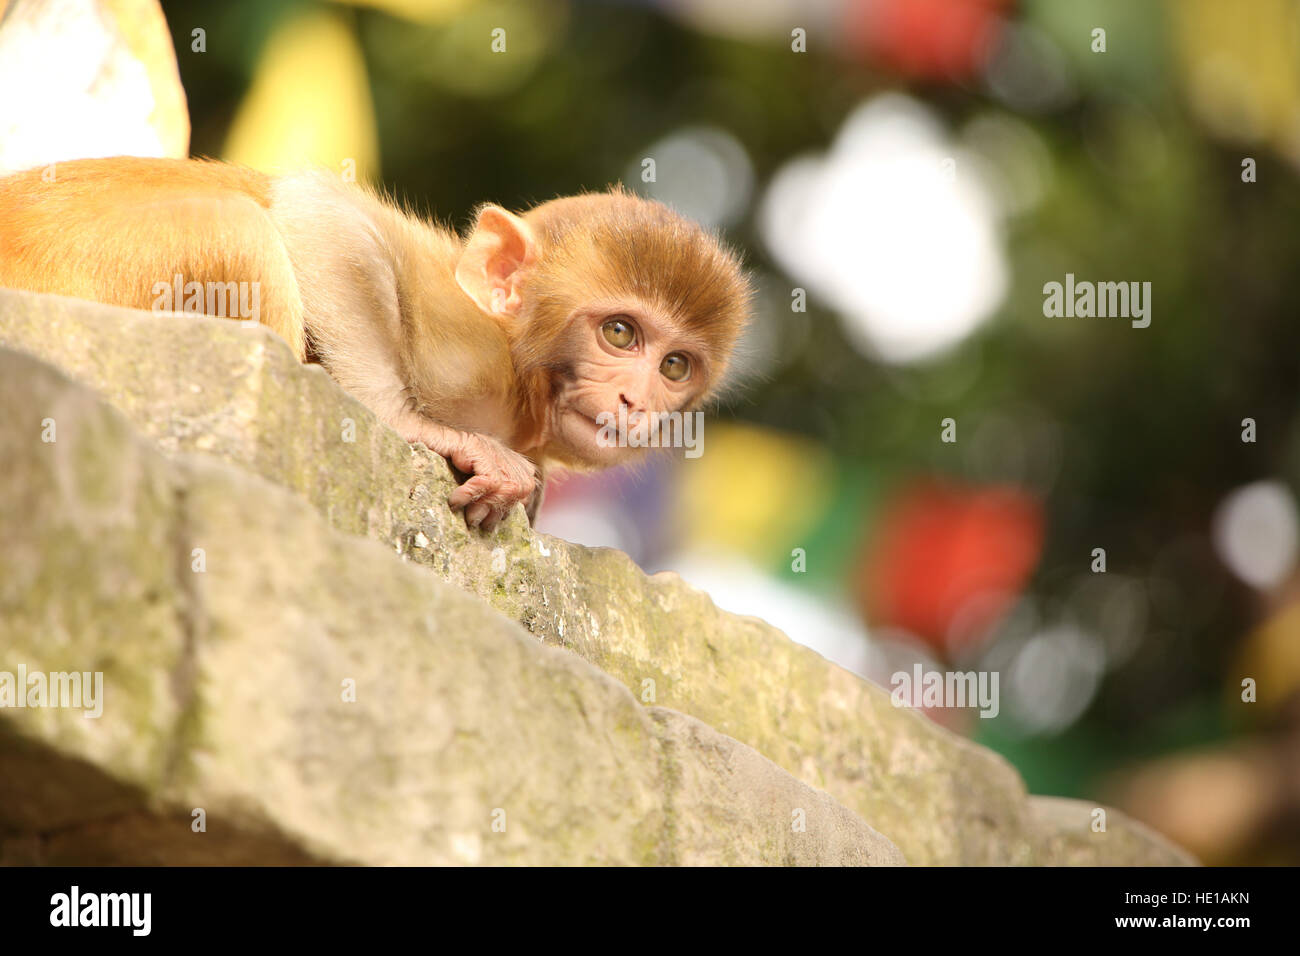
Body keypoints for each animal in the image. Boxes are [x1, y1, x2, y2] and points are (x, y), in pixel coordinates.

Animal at [0, 158, 754, 530]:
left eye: (674, 365)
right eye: (620, 333)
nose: (636, 400)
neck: (523, 388)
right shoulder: (469, 349)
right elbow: (320, 213)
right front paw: (409, 427)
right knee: (240, 225)